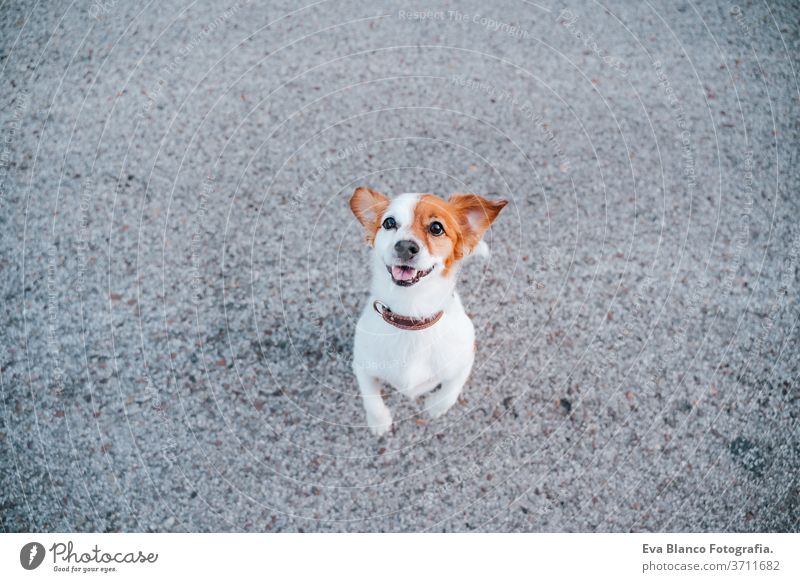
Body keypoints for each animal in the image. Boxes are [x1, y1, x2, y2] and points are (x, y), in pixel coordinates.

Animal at [348, 189, 506, 436]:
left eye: (436, 228)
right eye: (389, 222)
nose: (405, 247)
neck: (411, 316)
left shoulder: (466, 358)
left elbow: (451, 390)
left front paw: (434, 406)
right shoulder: (361, 365)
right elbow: (371, 398)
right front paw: (379, 422)